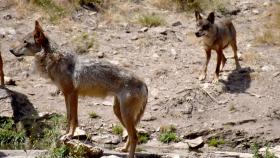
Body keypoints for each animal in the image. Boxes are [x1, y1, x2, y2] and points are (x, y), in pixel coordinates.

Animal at [9, 21, 148, 158]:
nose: (10, 50)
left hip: (124, 114)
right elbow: (69, 117)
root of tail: (144, 83)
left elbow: (72, 119)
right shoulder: (66, 94)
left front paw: (69, 136)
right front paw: (65, 135)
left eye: (25, 42)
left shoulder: (72, 94)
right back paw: (123, 149)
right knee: (132, 133)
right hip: (118, 112)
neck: (54, 59)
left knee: (135, 136)